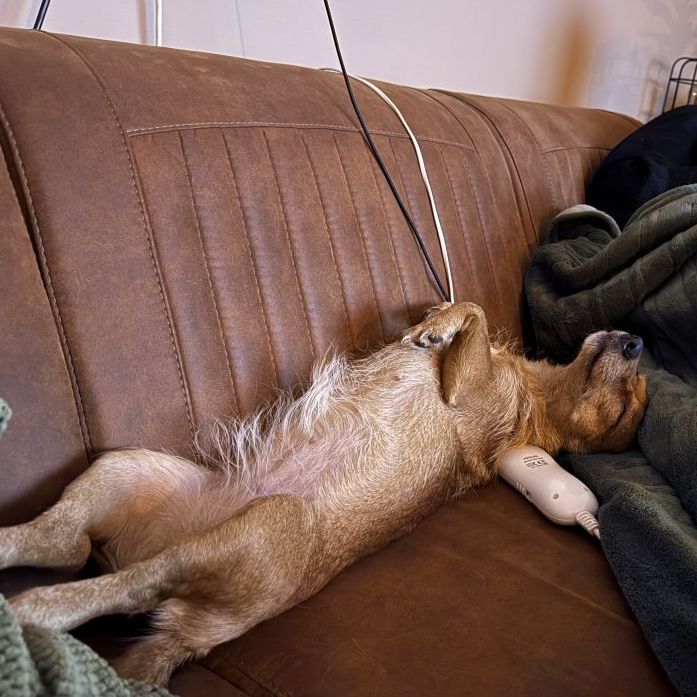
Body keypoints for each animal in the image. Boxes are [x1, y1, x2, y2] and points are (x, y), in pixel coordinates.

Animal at [0, 302, 647, 685]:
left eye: (626, 406)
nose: (638, 341)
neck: (535, 400)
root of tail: (190, 642)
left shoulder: (465, 389)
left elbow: (475, 310)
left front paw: (436, 325)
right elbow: (468, 308)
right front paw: (431, 317)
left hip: (268, 524)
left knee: (131, 583)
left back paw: (34, 608)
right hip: (123, 467)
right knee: (64, 543)